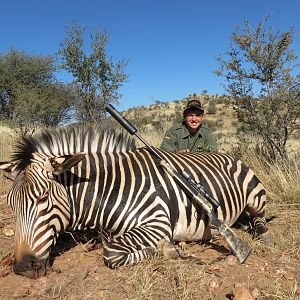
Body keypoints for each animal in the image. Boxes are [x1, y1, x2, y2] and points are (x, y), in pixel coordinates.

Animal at [0, 126, 270, 278]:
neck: (108, 189)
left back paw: (260, 235)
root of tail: (229, 155)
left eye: (43, 198)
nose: (23, 268)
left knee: (260, 218)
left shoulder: (157, 222)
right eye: (11, 205)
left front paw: (169, 250)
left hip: (255, 196)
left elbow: (111, 253)